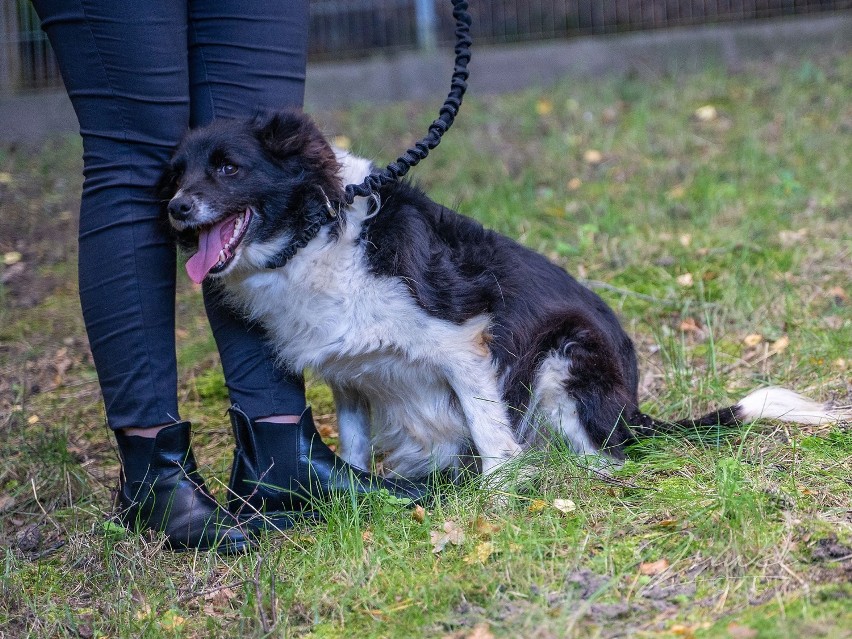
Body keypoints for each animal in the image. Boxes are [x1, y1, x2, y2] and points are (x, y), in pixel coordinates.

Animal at [160, 111, 844, 480]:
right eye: (178, 174)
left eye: (228, 167)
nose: (175, 210)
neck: (316, 228)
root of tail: (634, 410)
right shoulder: (349, 372)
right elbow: (352, 443)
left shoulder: (465, 339)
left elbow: (491, 437)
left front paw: (497, 499)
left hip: (566, 359)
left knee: (608, 457)